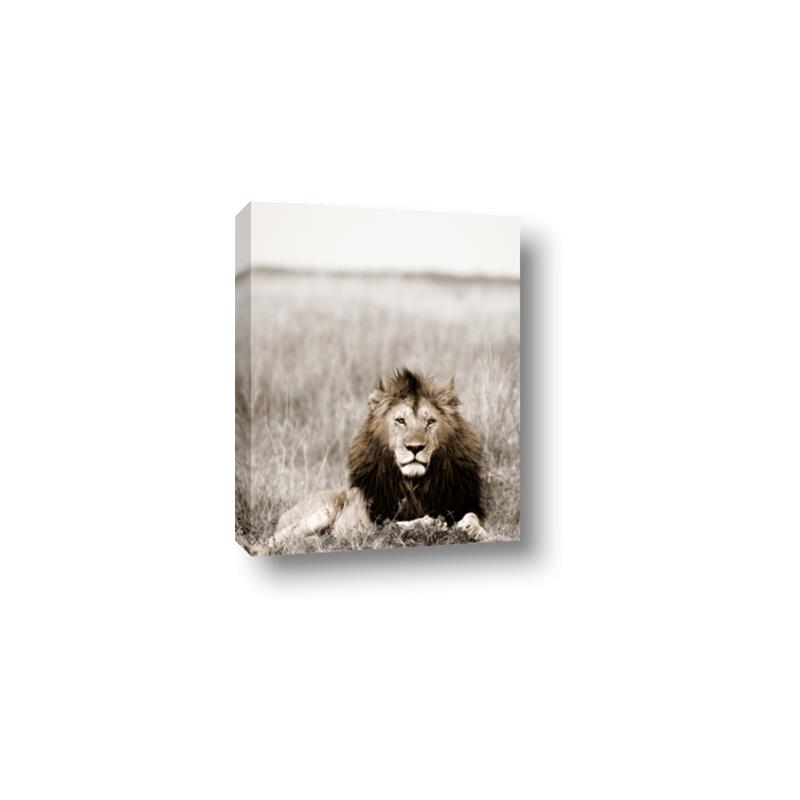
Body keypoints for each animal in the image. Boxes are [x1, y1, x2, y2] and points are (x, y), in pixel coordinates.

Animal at [270, 368, 490, 551]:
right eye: (400, 421)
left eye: (430, 422)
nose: (415, 448)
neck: (415, 485)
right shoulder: (367, 528)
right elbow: (393, 525)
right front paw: (428, 522)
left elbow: (474, 518)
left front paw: (473, 529)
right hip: (320, 513)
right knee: (275, 540)